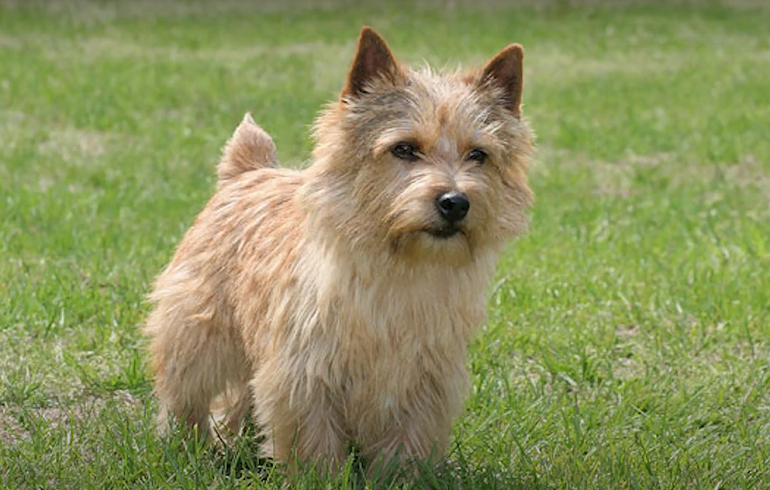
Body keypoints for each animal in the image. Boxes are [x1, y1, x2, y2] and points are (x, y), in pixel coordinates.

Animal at [146, 27, 536, 474]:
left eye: (478, 155)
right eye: (404, 148)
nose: (455, 202)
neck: (399, 269)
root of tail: (249, 172)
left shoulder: (424, 383)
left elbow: (407, 445)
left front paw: (401, 477)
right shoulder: (304, 376)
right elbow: (314, 445)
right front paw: (320, 477)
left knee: (237, 394)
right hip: (197, 329)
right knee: (185, 393)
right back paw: (187, 447)